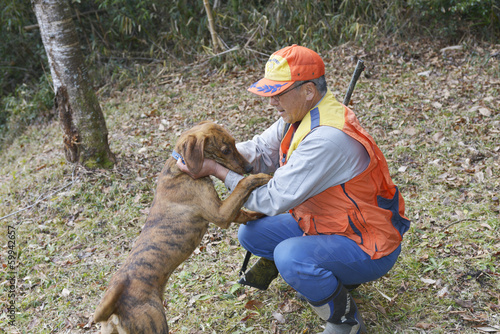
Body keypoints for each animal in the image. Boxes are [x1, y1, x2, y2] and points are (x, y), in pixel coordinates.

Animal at [95, 121, 272, 332]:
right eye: (225, 150)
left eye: (235, 143)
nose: (250, 166)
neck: (181, 167)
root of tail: (114, 308)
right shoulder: (220, 213)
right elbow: (244, 183)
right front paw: (264, 176)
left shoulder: (228, 212)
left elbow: (248, 212)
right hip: (155, 322)